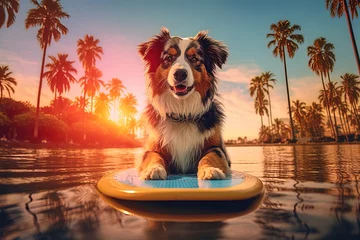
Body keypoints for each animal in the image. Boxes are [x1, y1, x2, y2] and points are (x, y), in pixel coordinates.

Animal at [136, 27, 232, 179]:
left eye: (194, 59)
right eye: (169, 58)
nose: (180, 73)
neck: (182, 113)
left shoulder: (217, 147)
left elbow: (210, 156)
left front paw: (209, 169)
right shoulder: (152, 147)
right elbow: (154, 156)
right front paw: (153, 169)